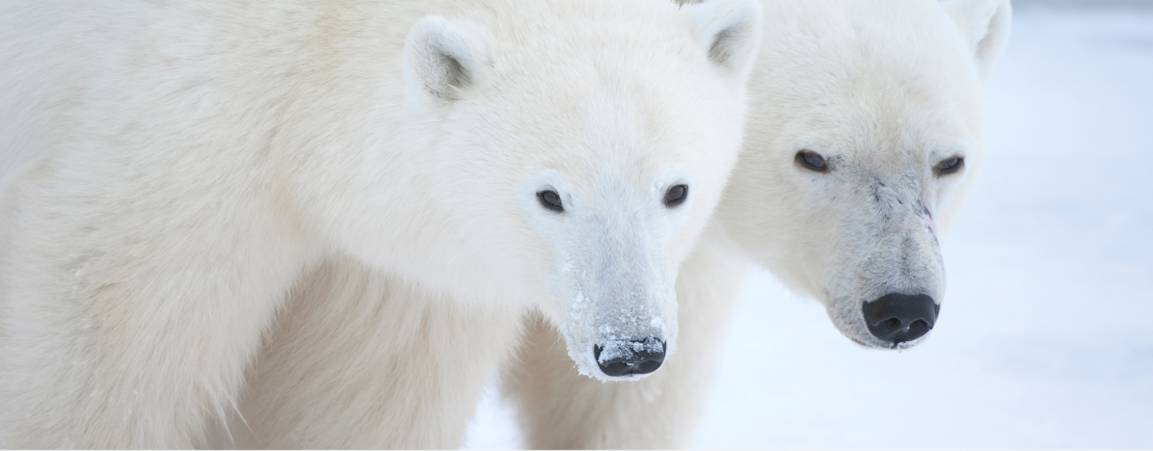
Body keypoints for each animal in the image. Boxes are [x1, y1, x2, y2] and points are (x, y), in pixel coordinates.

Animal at [0, 0, 764, 447]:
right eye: (550, 196)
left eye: (676, 190)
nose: (631, 348)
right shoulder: (177, 136)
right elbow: (95, 357)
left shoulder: (396, 272)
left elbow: (358, 398)